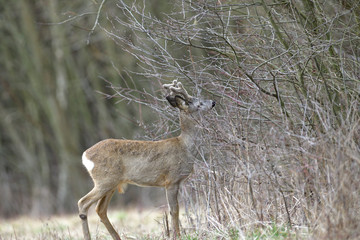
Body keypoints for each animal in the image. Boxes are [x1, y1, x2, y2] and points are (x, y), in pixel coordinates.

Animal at [77, 81, 215, 240]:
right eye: (198, 104)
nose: (213, 102)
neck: (185, 147)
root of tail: (85, 155)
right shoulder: (171, 180)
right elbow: (174, 210)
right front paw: (177, 236)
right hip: (104, 180)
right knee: (83, 203)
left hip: (112, 183)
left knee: (100, 209)